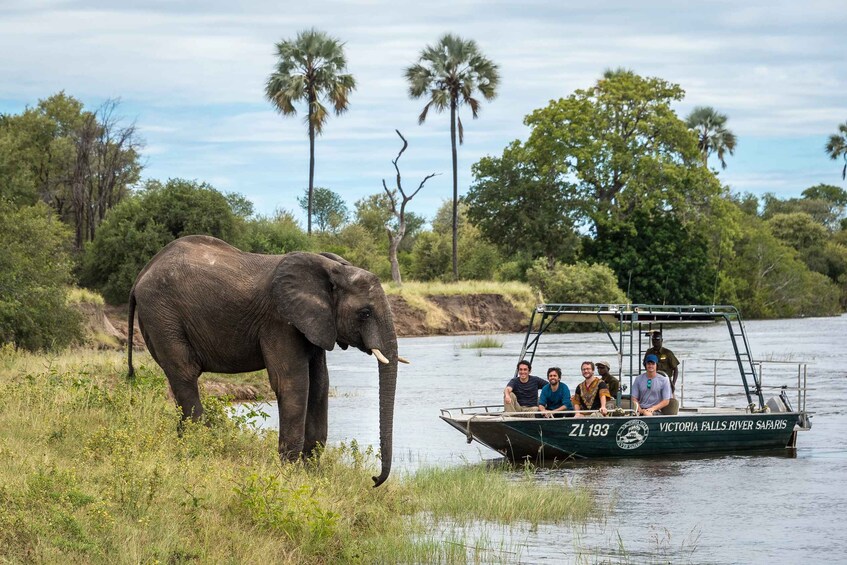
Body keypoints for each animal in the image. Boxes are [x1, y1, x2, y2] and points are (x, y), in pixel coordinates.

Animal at [126, 234, 404, 484]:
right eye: (365, 313)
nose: (374, 479)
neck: (332, 269)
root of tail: (141, 274)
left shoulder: (315, 324)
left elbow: (320, 385)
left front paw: (311, 472)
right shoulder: (279, 321)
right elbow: (293, 384)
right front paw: (291, 474)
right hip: (162, 315)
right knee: (185, 373)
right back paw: (198, 446)